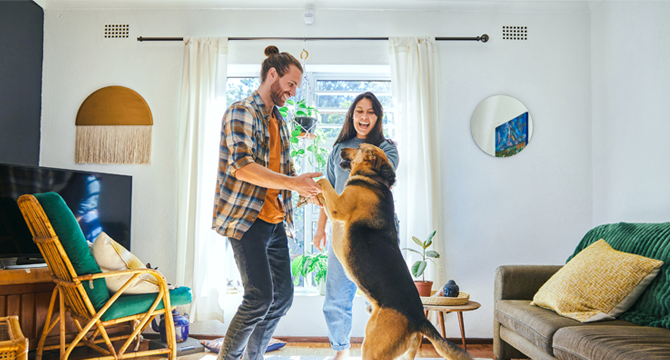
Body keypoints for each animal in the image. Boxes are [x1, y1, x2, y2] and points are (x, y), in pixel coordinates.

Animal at [316, 143, 470, 360]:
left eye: (359, 147)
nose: (339, 149)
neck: (375, 179)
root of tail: (419, 319)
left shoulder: (339, 207)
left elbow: (323, 181)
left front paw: (314, 180)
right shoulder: (334, 212)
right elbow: (322, 195)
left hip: (371, 348)